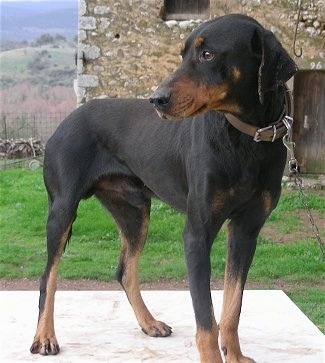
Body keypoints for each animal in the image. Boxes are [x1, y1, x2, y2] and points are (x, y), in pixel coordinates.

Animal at [30, 14, 296, 363]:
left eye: (207, 54)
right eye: (183, 54)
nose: (157, 99)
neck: (245, 137)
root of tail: (65, 120)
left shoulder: (246, 230)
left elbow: (232, 306)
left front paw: (235, 356)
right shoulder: (197, 234)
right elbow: (206, 319)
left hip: (134, 211)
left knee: (124, 270)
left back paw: (149, 323)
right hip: (62, 210)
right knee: (48, 276)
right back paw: (45, 336)